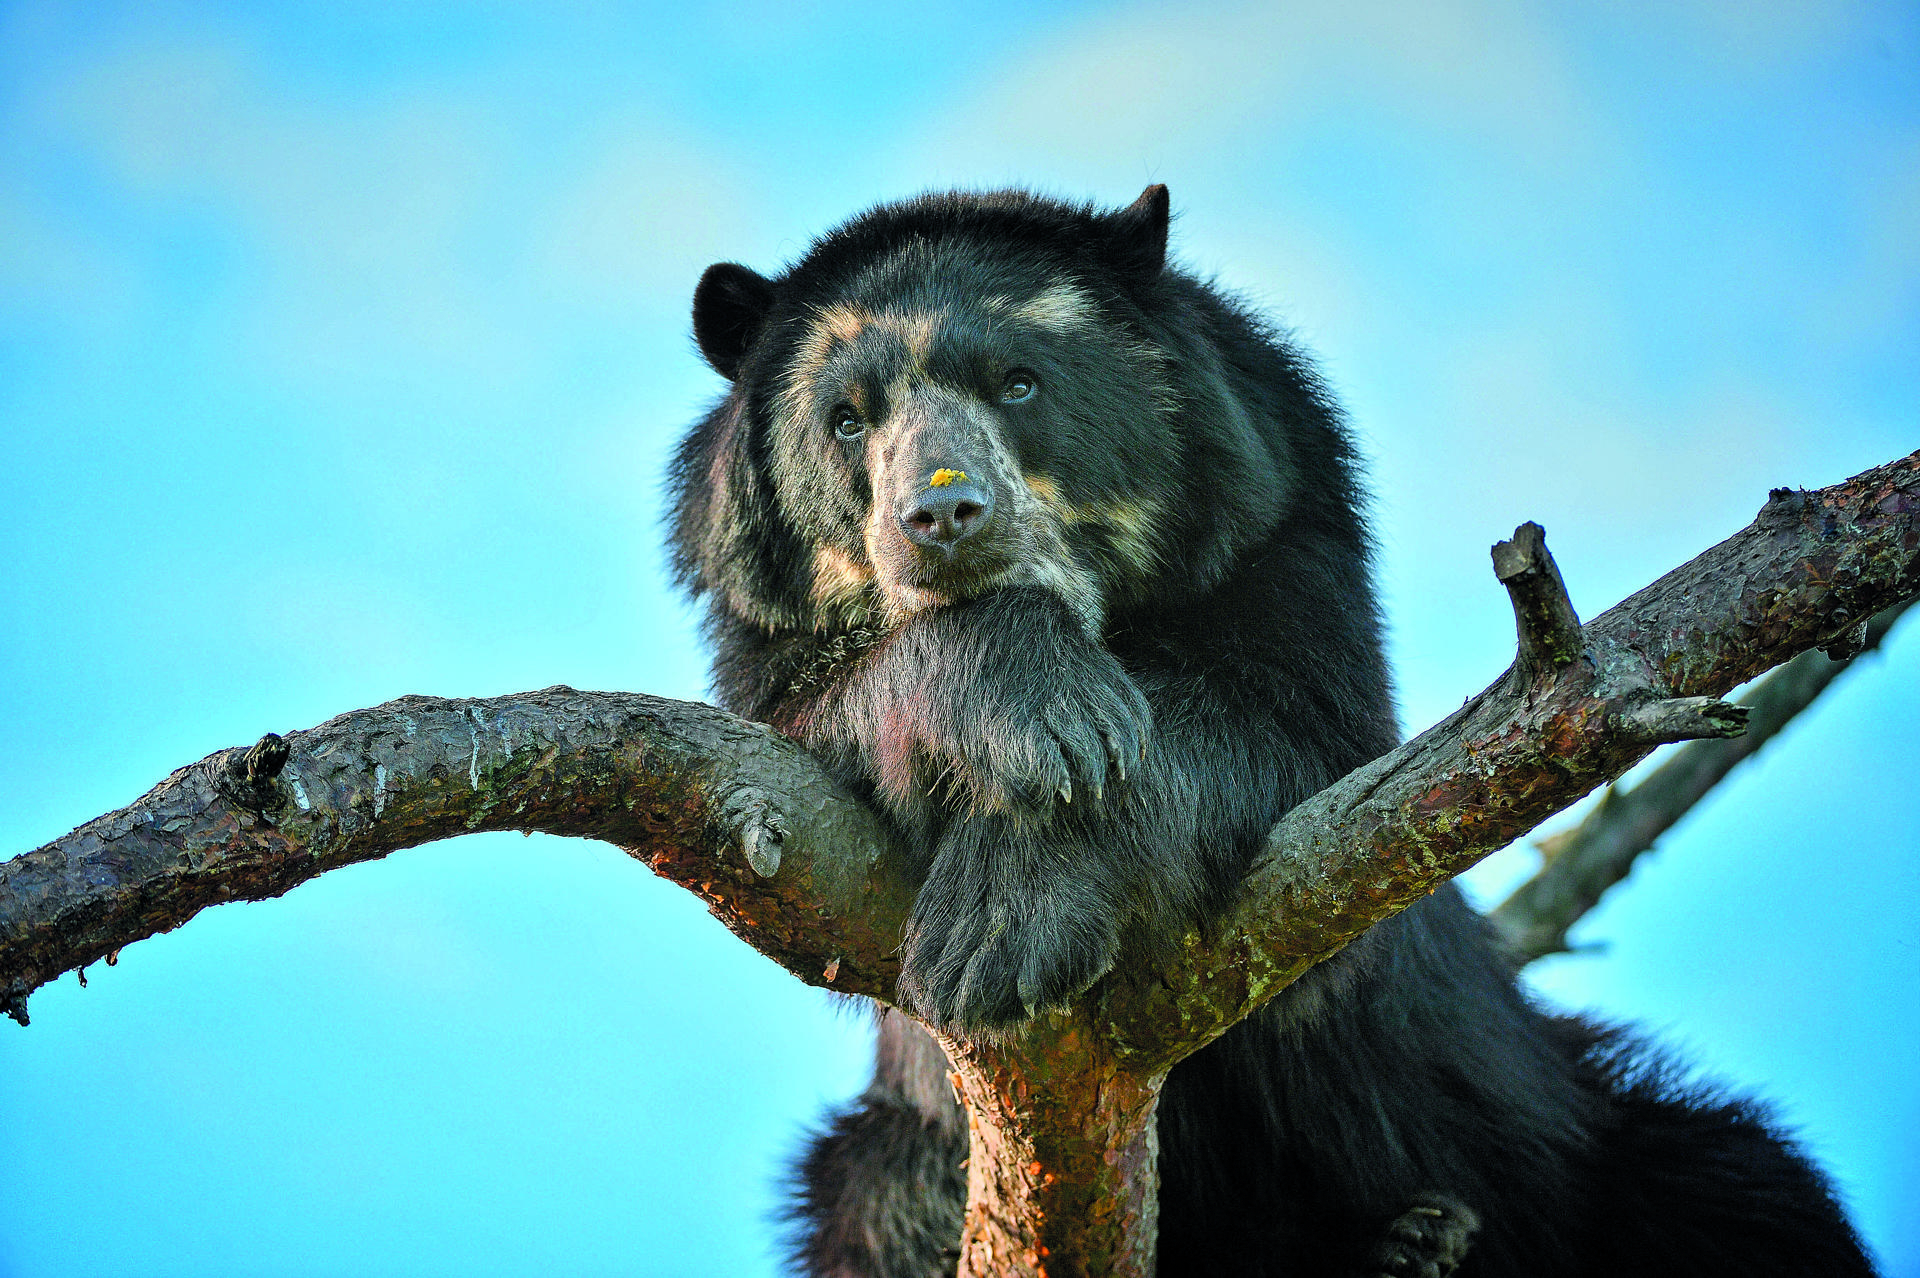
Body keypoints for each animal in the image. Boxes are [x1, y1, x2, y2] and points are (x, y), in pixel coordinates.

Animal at [667, 187, 1875, 1277]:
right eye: (848, 419)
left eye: (1020, 381)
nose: (943, 518)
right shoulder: (769, 664)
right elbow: (805, 754)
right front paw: (1039, 713)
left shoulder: (1288, 553)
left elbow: (1281, 745)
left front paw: (1004, 922)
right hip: (895, 1157)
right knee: (878, 1210)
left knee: (1748, 1191)